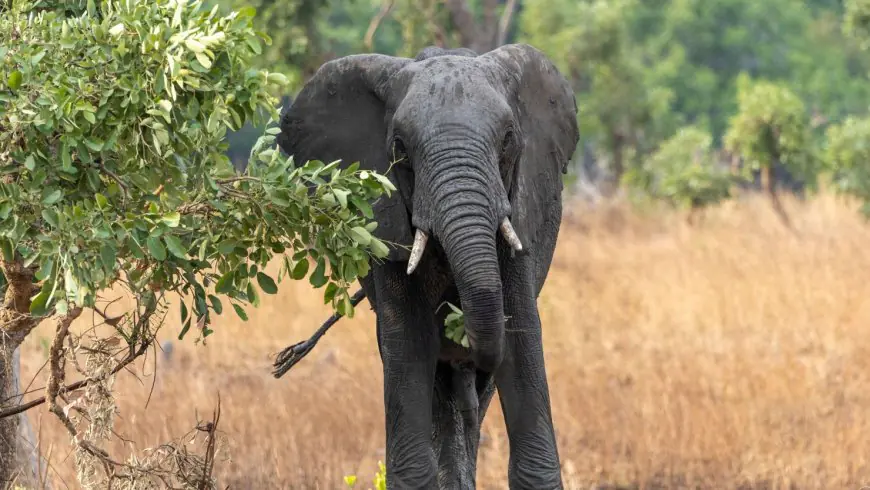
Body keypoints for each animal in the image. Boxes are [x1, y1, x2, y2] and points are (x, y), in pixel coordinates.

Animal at [276, 43, 580, 489]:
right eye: (400, 147)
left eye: (508, 139)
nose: (463, 335)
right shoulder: (386, 224)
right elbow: (411, 347)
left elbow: (522, 337)